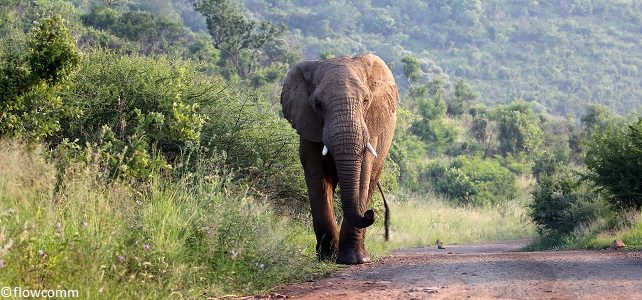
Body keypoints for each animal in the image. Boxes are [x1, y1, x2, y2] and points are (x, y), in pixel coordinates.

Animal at [278, 54, 396, 264]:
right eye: (317, 104)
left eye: (366, 100)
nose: (369, 213)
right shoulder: (309, 125)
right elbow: (316, 176)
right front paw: (327, 257)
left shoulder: (370, 126)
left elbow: (363, 174)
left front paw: (352, 260)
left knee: (371, 181)